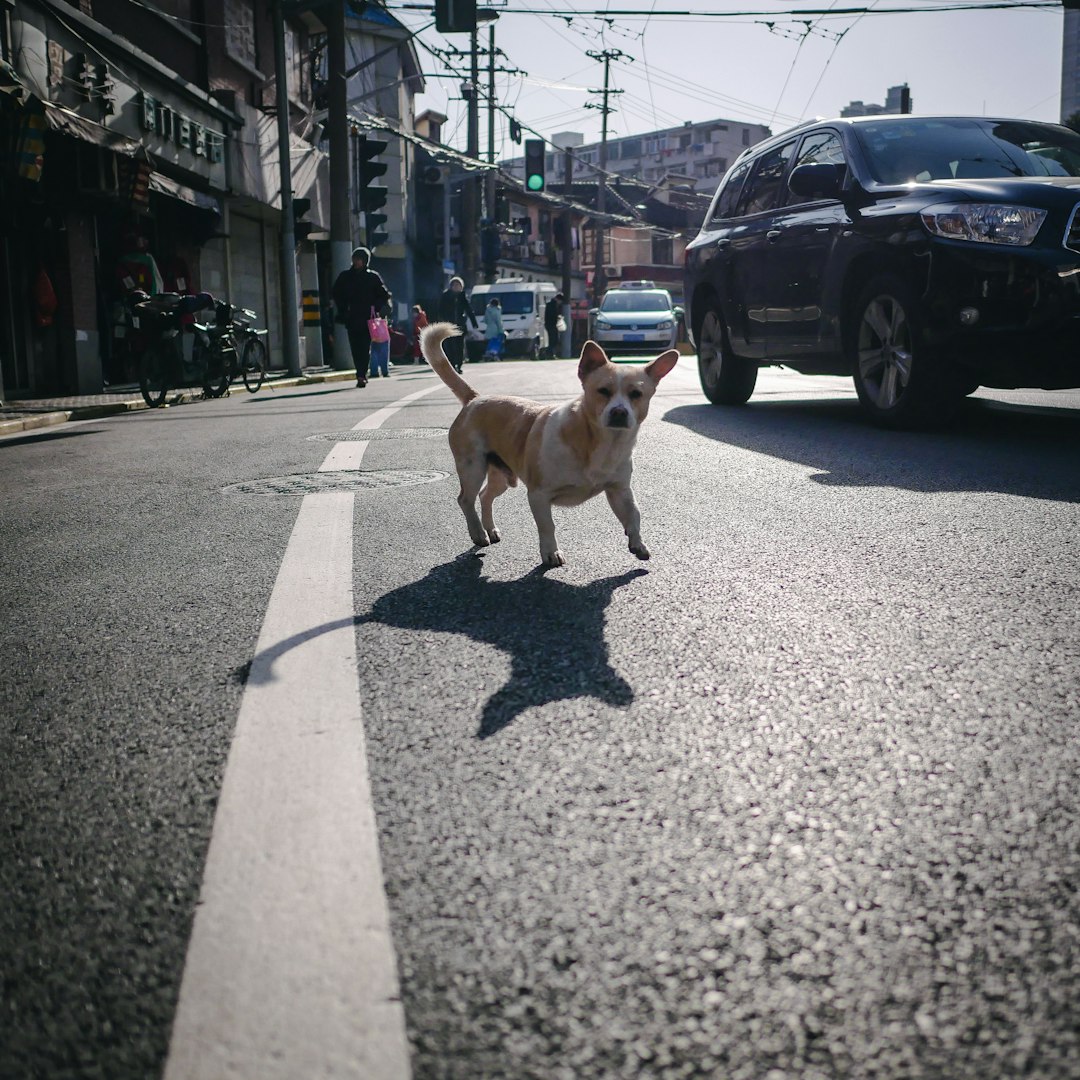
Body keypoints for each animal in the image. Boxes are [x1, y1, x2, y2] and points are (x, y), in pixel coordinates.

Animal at [419, 319, 673, 570]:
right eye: (603, 391)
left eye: (636, 394)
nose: (619, 412)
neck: (602, 443)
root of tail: (474, 398)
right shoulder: (538, 495)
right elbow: (547, 526)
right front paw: (551, 553)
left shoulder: (620, 491)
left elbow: (634, 515)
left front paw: (638, 543)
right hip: (473, 468)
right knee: (466, 499)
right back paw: (478, 533)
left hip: (501, 476)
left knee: (484, 497)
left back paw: (489, 529)